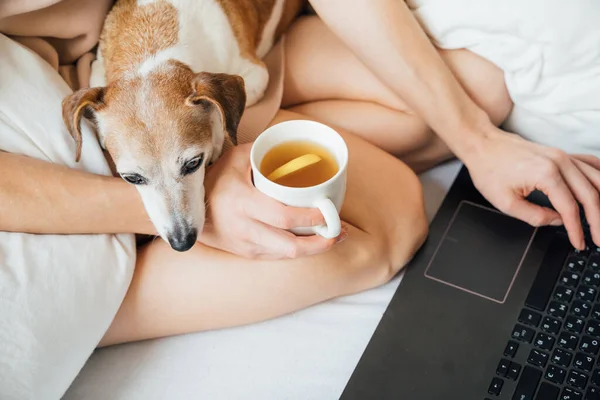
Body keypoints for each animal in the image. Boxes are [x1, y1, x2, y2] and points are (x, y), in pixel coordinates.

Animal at [62, 0, 302, 250]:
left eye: (194, 163)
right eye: (132, 178)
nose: (182, 242)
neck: (153, 43)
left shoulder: (256, 75)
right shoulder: (98, 65)